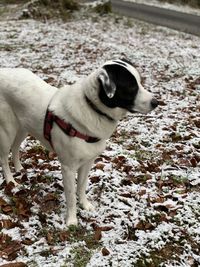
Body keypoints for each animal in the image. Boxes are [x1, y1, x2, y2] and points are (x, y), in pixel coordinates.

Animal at [0, 59, 159, 226]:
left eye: (140, 82)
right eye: (131, 87)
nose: (156, 102)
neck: (92, 108)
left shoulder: (88, 161)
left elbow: (82, 186)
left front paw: (85, 205)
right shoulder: (68, 167)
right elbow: (70, 196)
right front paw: (72, 220)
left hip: (24, 127)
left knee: (15, 147)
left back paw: (19, 168)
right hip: (7, 130)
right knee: (4, 157)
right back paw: (11, 181)